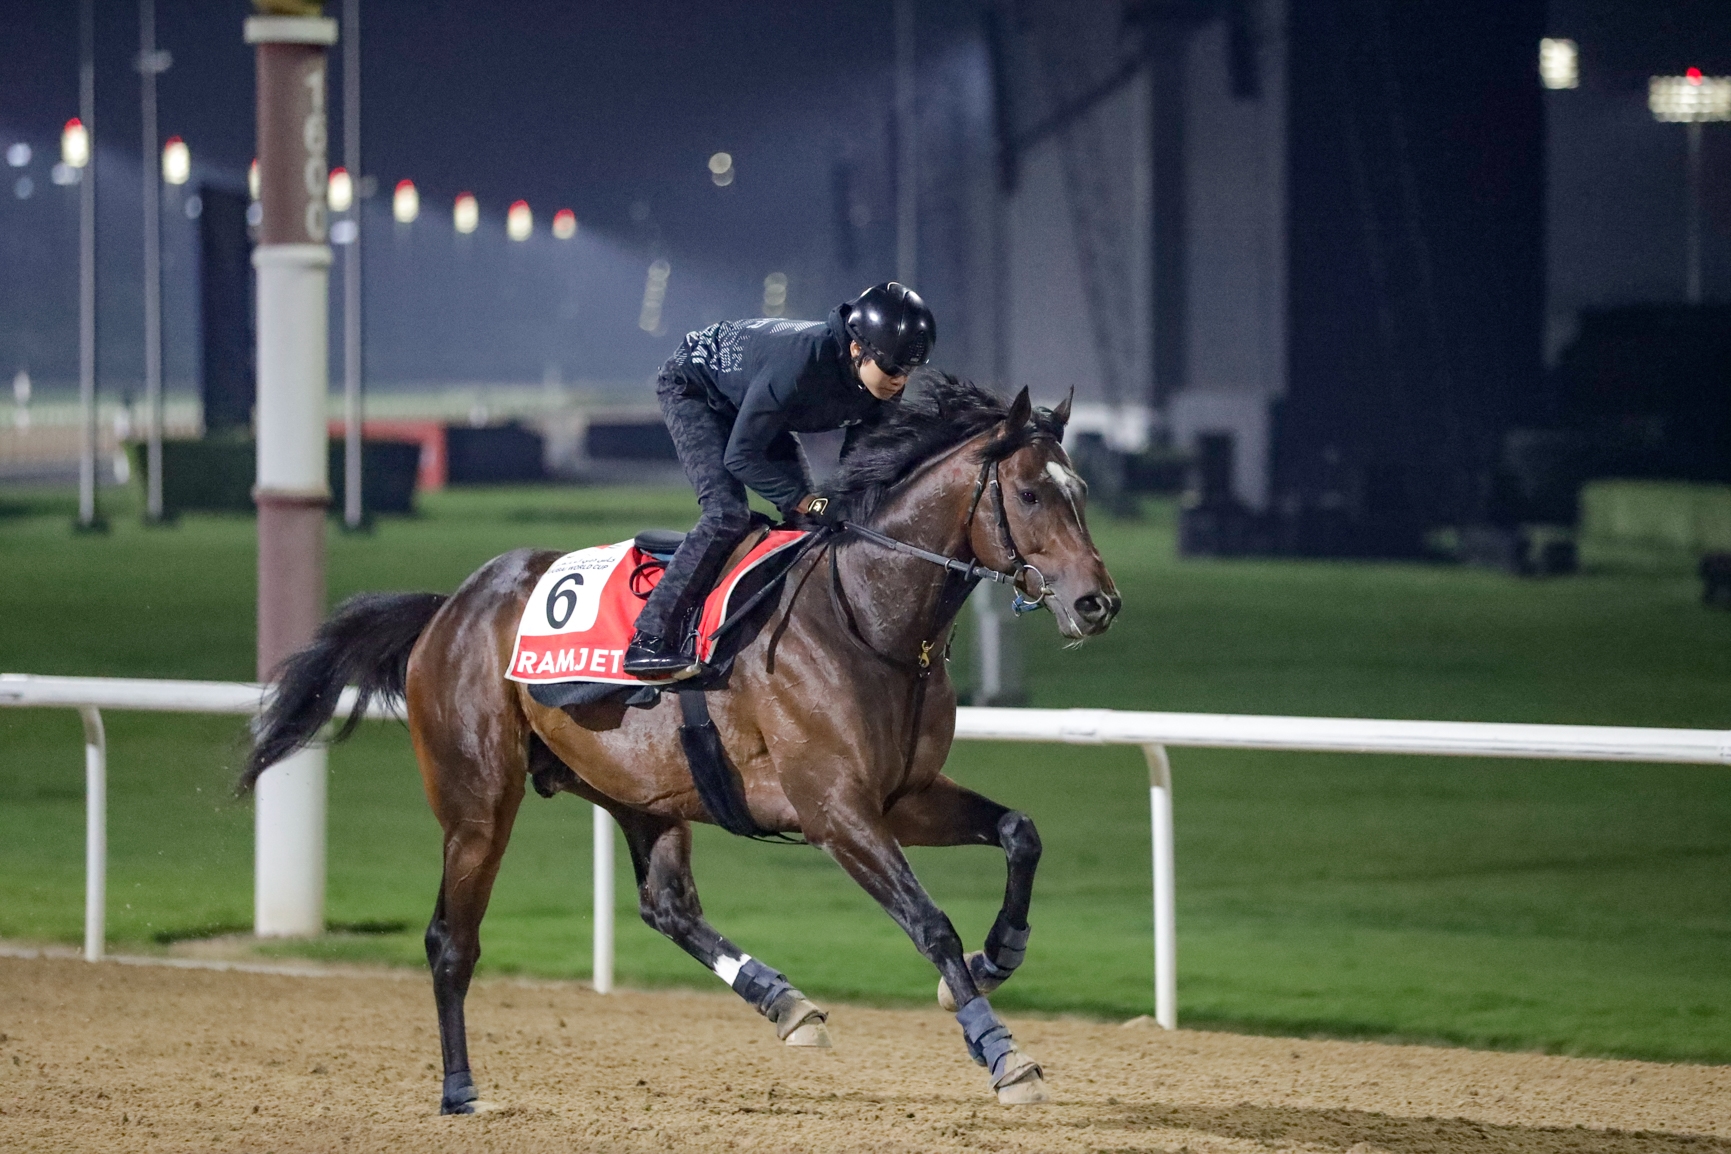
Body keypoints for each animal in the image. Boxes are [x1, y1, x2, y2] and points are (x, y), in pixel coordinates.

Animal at [241, 373, 1121, 1113]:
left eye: (1082, 492)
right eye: (1031, 492)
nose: (1096, 604)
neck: (868, 618)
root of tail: (446, 607)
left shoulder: (902, 795)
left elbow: (1019, 833)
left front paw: (994, 958)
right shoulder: (836, 810)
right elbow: (928, 921)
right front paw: (1002, 1053)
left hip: (640, 791)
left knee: (666, 906)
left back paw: (785, 1003)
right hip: (477, 802)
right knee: (450, 939)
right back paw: (459, 1089)